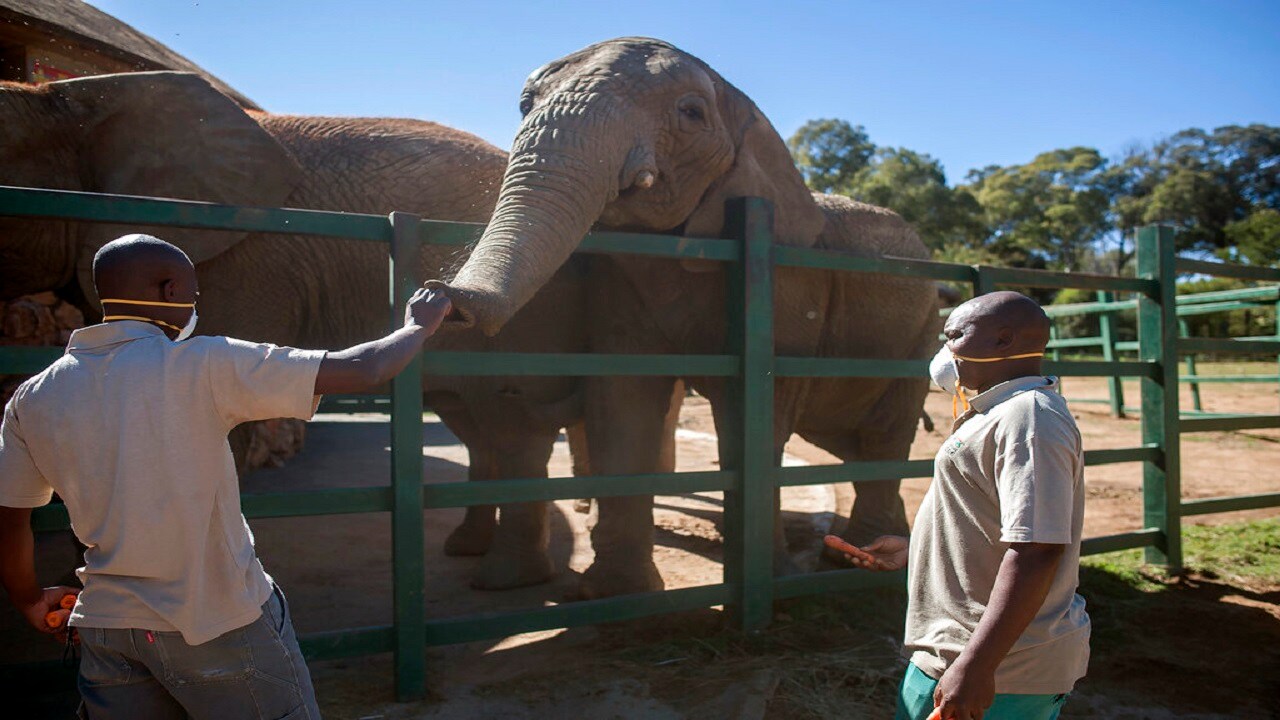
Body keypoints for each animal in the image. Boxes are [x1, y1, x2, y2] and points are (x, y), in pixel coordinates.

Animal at [0, 68, 670, 589]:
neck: (87, 97)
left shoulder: (240, 259)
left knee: (512, 423)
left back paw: (503, 578)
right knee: (478, 424)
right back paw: (468, 551)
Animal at [430, 36, 942, 597]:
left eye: (692, 113)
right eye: (525, 105)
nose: (439, 296)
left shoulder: (784, 286)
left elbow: (751, 415)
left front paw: (768, 580)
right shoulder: (621, 280)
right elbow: (623, 402)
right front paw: (615, 592)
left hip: (924, 329)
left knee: (883, 434)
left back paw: (865, 564)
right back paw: (871, 550)